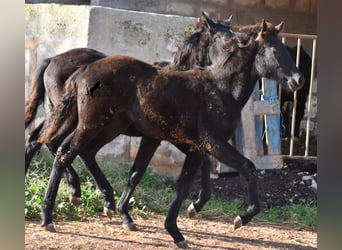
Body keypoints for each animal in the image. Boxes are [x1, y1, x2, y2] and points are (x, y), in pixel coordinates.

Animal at [38, 17, 304, 248]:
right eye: (273, 50)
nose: (298, 80)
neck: (220, 88)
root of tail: (83, 70)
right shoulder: (212, 142)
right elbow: (248, 167)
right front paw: (241, 218)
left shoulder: (194, 147)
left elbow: (181, 182)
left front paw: (177, 228)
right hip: (90, 125)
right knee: (64, 151)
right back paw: (50, 215)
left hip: (108, 127)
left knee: (78, 151)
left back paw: (99, 203)